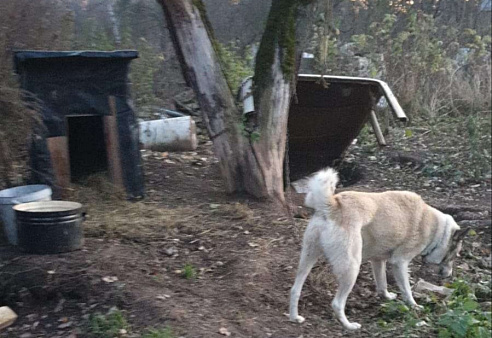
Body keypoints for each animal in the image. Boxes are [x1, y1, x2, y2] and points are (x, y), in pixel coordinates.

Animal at [290, 168, 468, 328]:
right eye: (455, 255)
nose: (448, 275)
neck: (436, 229)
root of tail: (332, 204)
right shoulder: (399, 263)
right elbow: (407, 290)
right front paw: (414, 306)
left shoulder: (378, 261)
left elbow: (382, 284)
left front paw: (387, 297)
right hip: (352, 269)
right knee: (337, 304)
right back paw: (349, 325)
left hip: (308, 259)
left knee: (295, 289)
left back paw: (295, 317)